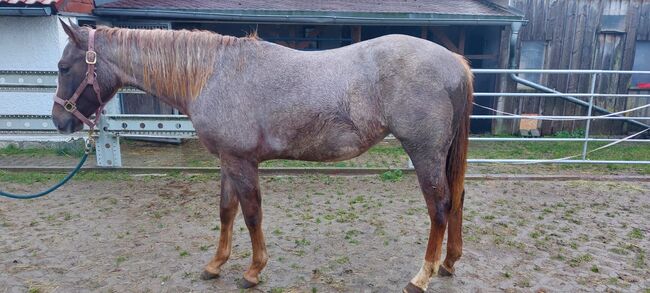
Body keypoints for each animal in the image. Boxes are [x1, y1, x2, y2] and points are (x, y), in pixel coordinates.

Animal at [52, 20, 470, 290]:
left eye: (63, 66)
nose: (59, 120)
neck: (213, 74)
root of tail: (455, 63)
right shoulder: (227, 160)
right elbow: (227, 211)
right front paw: (215, 265)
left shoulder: (242, 162)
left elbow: (252, 214)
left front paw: (253, 271)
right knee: (456, 199)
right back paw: (448, 264)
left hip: (424, 153)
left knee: (439, 207)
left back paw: (422, 276)